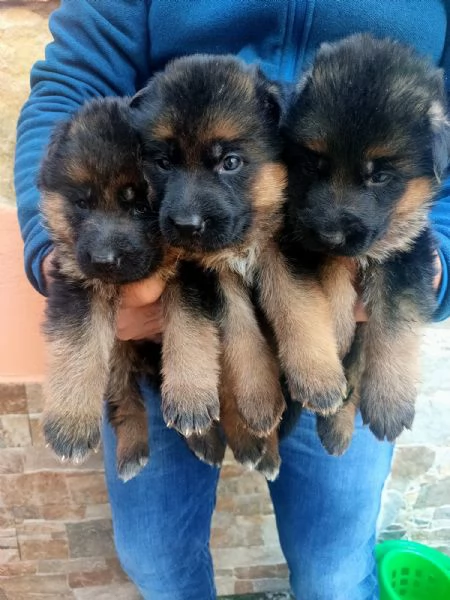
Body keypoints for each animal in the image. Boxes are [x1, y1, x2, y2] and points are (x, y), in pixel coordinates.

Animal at [39, 98, 167, 482]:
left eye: (141, 206)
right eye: (83, 203)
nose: (102, 260)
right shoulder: (76, 281)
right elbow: (79, 343)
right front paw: (70, 425)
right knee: (122, 395)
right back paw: (134, 450)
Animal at [134, 52, 348, 474]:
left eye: (230, 163)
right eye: (163, 163)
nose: (186, 225)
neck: (241, 241)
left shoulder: (282, 250)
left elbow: (298, 307)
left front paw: (318, 377)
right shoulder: (209, 275)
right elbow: (236, 336)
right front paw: (257, 401)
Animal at [284, 34, 448, 454]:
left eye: (380, 176)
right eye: (315, 164)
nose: (330, 234)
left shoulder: (408, 254)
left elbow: (393, 325)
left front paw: (390, 401)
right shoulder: (303, 237)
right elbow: (331, 272)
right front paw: (338, 326)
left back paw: (338, 427)